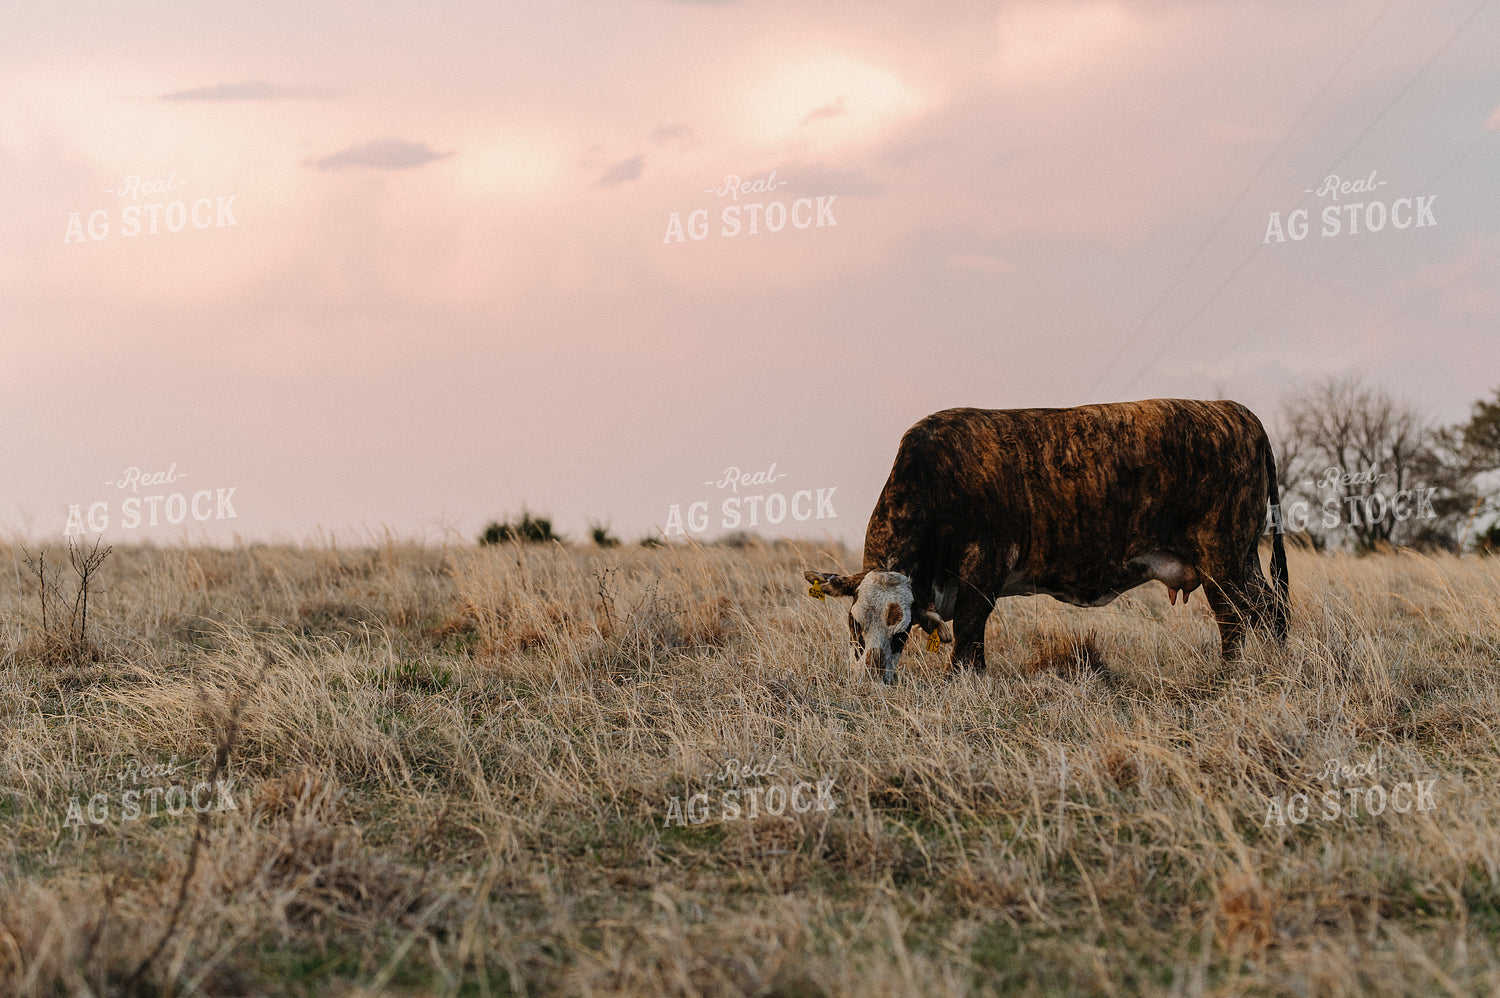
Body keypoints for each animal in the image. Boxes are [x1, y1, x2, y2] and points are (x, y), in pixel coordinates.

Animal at [804, 400, 1289, 682]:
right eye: (853, 623)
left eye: (901, 630)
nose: (870, 678)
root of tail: (1234, 411)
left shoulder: (982, 572)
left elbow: (967, 639)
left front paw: (963, 683)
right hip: (1240, 560)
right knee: (1257, 615)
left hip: (1223, 561)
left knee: (1248, 618)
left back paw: (1242, 674)